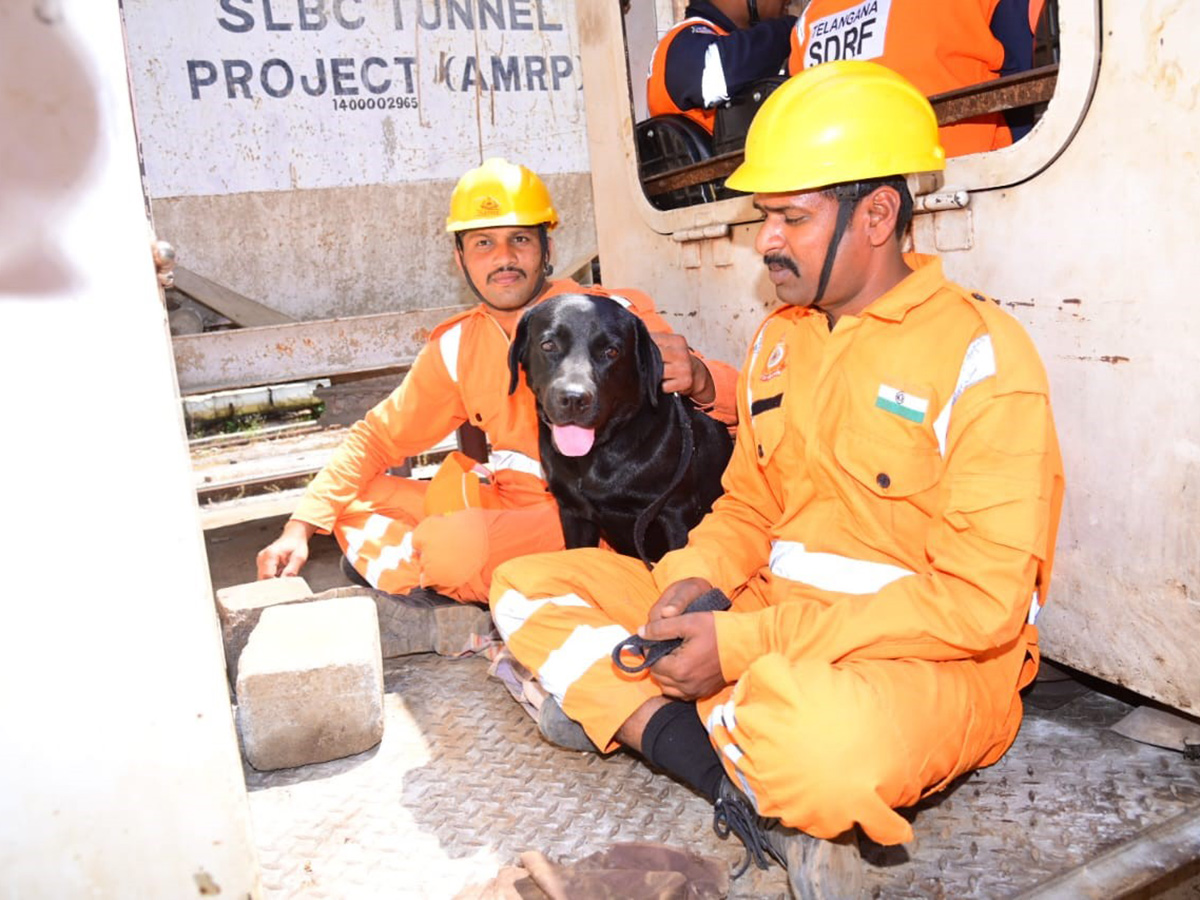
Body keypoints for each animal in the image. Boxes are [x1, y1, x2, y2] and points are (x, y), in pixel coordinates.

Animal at [506, 296, 729, 564]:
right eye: (548, 345)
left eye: (611, 351)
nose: (574, 398)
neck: (594, 457)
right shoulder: (572, 513)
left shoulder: (677, 511)